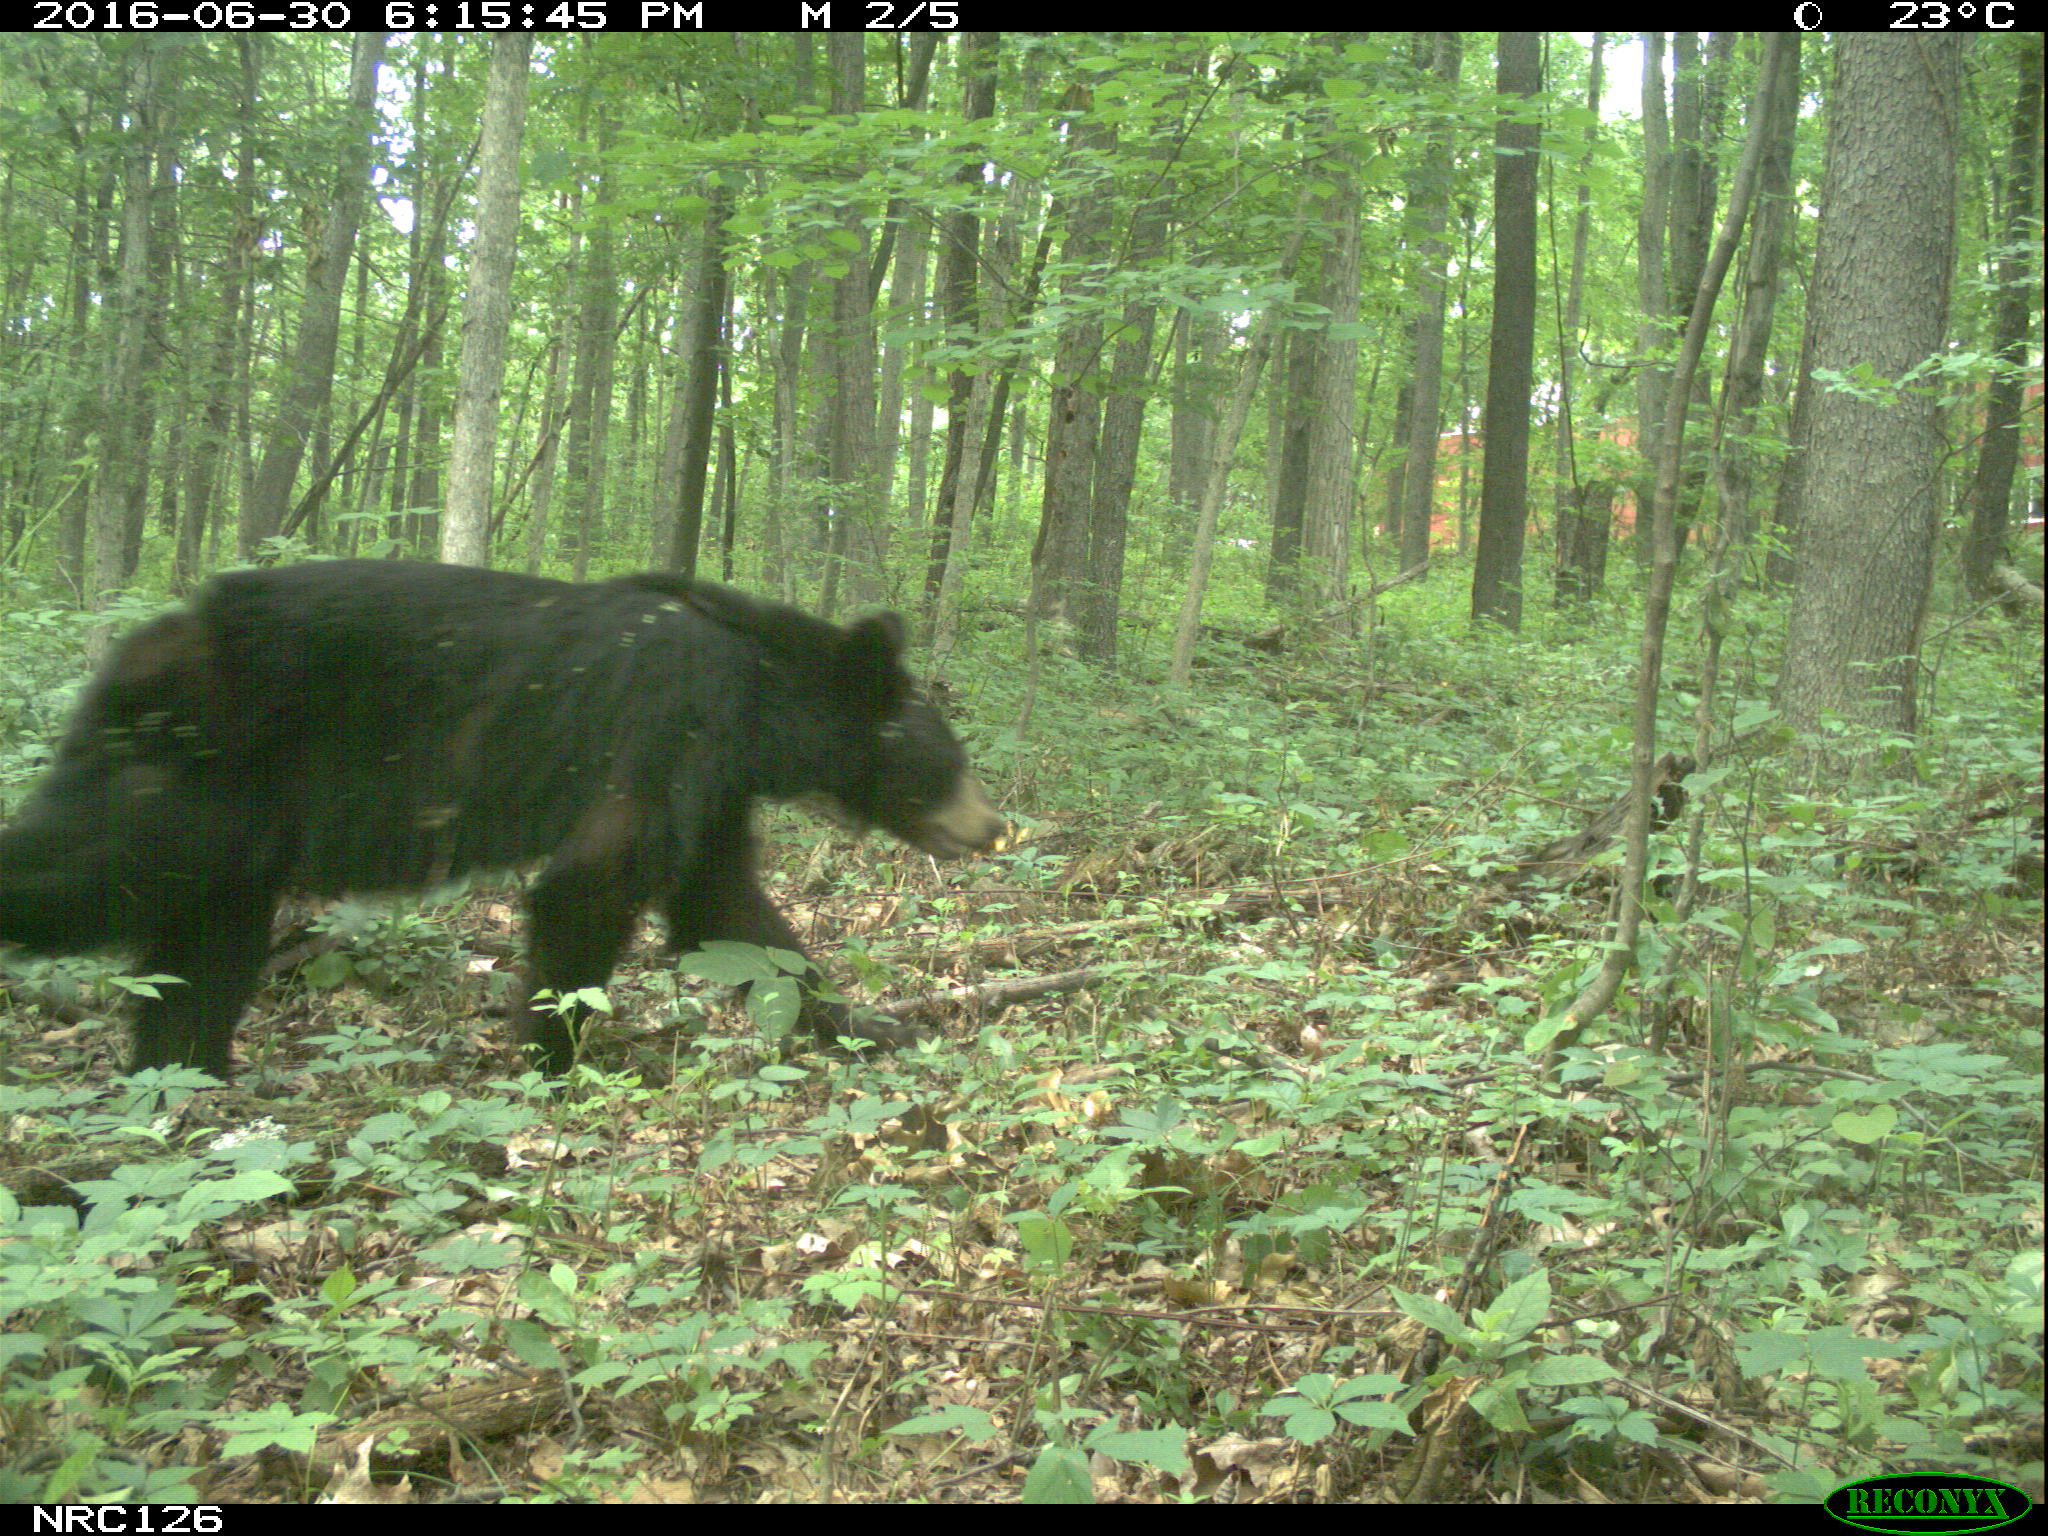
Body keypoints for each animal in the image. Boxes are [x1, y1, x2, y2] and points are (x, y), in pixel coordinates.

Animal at [0, 561, 1007, 1073]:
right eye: (952, 761)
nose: (993, 826)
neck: (757, 694)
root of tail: (143, 644)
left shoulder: (713, 781)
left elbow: (725, 911)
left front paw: (868, 1022)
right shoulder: (663, 729)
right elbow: (592, 884)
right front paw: (559, 1054)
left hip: (233, 832)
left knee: (202, 950)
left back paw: (183, 1076)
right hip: (188, 778)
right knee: (74, 872)